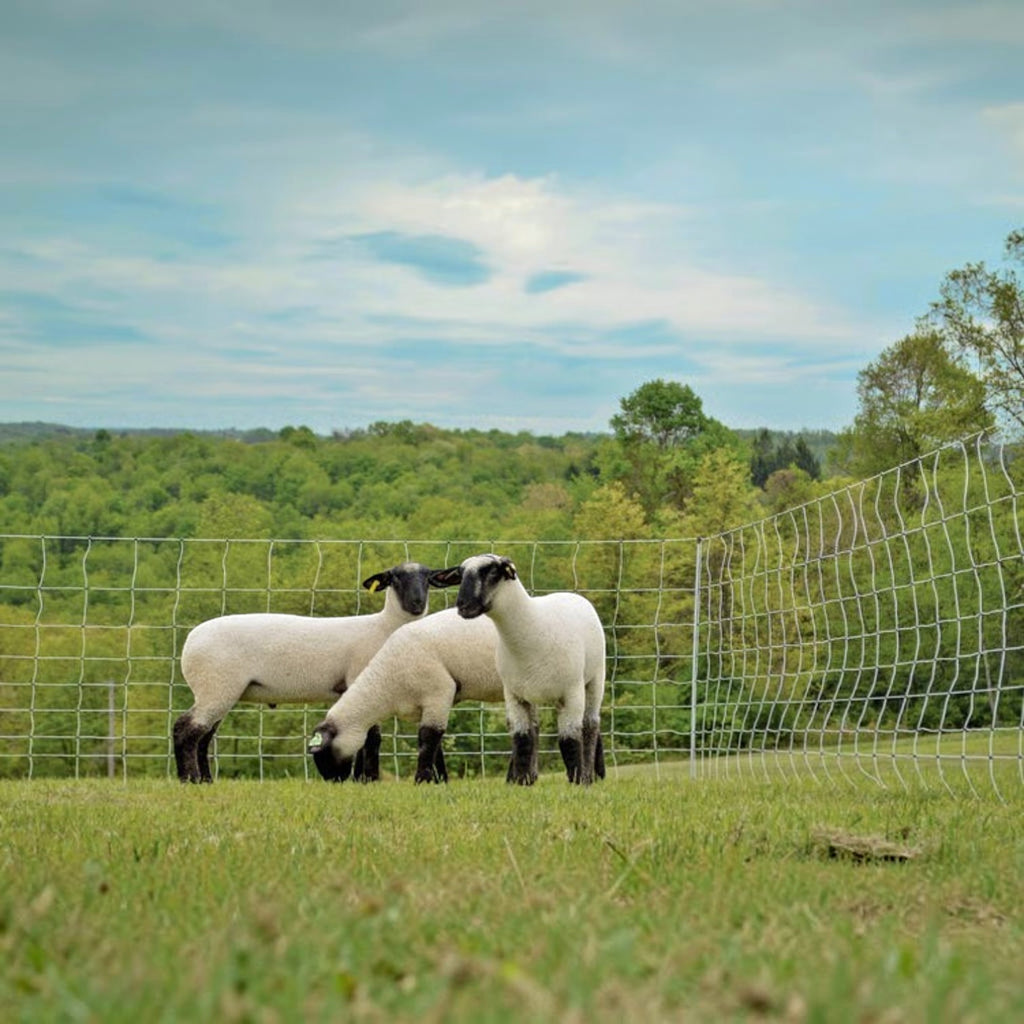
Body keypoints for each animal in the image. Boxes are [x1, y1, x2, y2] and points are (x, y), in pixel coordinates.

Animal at [173, 562, 445, 784]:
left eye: (427, 578)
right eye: (395, 578)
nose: (417, 604)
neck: (384, 627)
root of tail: (189, 641)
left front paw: (361, 778)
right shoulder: (363, 680)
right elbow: (372, 738)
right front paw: (369, 779)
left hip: (218, 690)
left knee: (203, 736)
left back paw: (205, 780)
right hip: (216, 686)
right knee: (185, 729)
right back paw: (190, 779)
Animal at [307, 608, 519, 784]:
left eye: (326, 753)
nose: (334, 781)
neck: (387, 680)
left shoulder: (439, 692)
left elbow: (428, 737)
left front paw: (422, 780)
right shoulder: (424, 706)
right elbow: (436, 745)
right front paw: (439, 781)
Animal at [432, 553, 607, 786]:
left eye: (493, 572)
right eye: (460, 575)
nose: (463, 606)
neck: (532, 630)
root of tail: (572, 595)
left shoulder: (571, 692)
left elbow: (569, 740)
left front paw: (579, 780)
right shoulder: (514, 694)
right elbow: (522, 738)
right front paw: (522, 781)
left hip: (595, 678)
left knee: (590, 726)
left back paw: (589, 775)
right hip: (532, 692)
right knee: (536, 728)